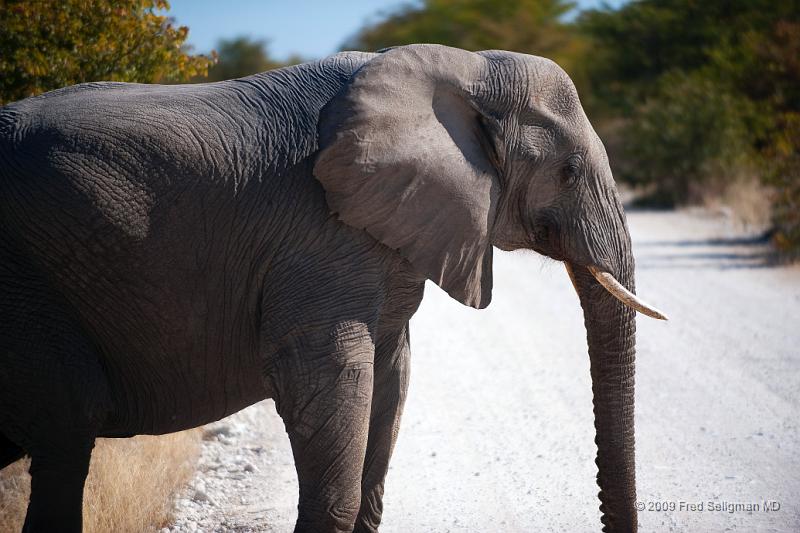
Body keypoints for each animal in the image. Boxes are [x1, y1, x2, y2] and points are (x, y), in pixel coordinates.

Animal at [0, 43, 664, 528]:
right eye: (568, 171)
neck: (466, 69)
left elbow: (391, 376)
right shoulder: (317, 238)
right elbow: (330, 375)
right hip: (27, 294)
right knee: (67, 438)